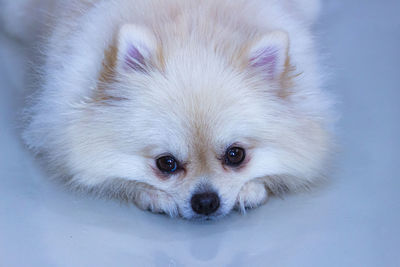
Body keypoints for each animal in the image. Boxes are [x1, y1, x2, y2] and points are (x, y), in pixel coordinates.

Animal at [0, 0, 332, 220]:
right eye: (166, 164)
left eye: (235, 155)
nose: (206, 201)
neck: (195, 23)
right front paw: (152, 195)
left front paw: (250, 189)